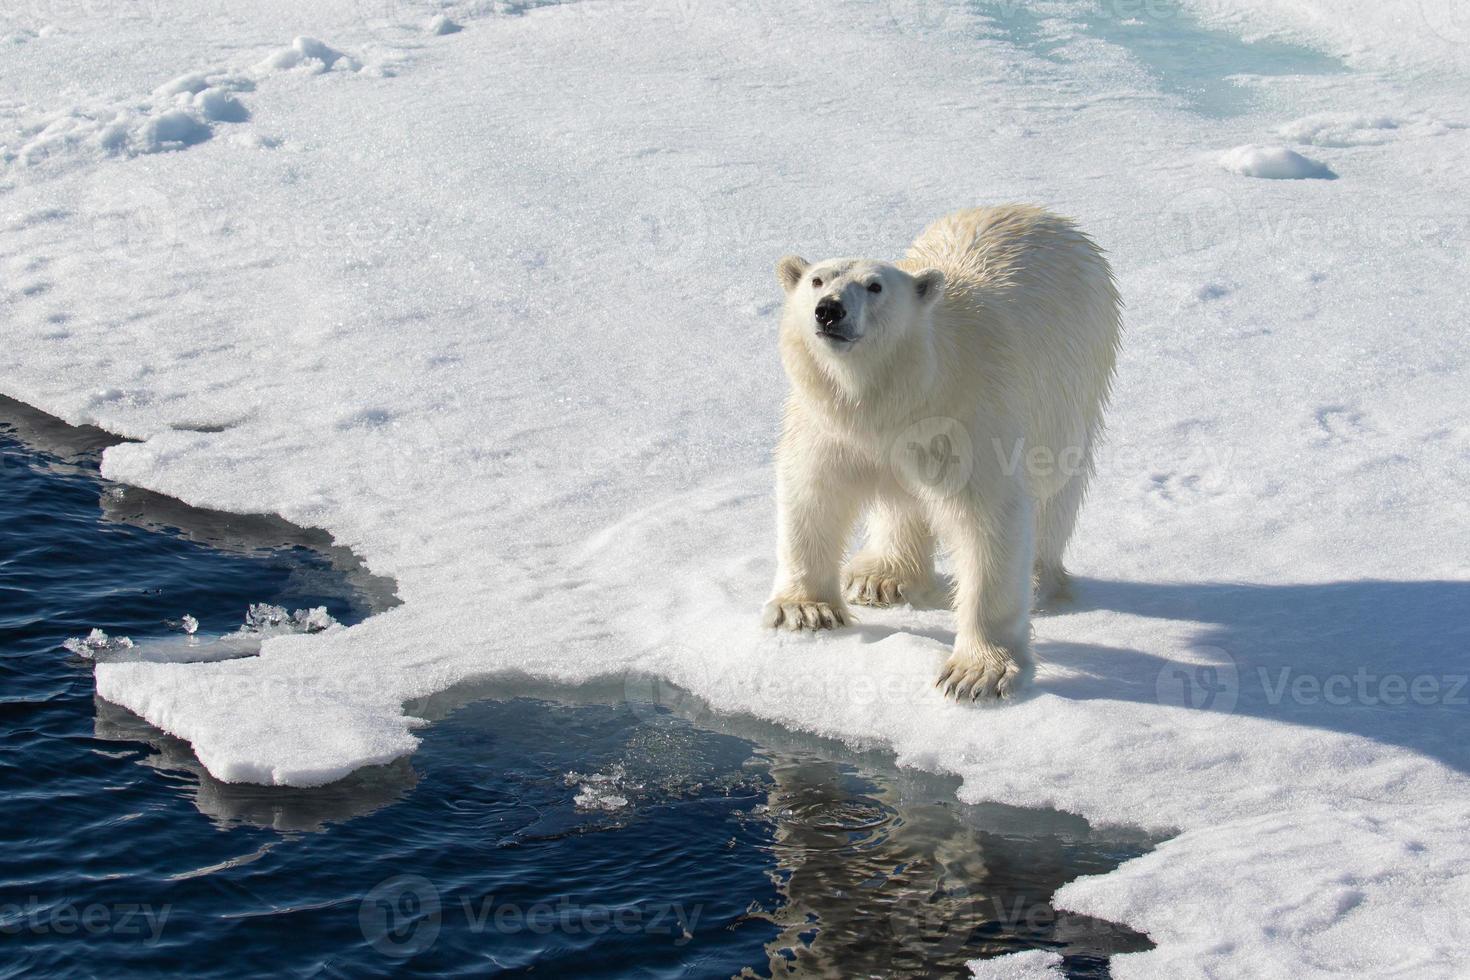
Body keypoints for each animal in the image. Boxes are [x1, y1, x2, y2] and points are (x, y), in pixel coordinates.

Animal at [764, 205, 1117, 696]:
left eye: (875, 286)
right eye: (817, 280)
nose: (829, 310)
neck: (898, 395)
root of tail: (1049, 217)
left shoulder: (969, 416)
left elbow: (988, 520)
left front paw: (977, 671)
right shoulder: (828, 427)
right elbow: (813, 492)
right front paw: (806, 609)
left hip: (1074, 376)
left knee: (1056, 488)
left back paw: (1038, 579)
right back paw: (880, 577)